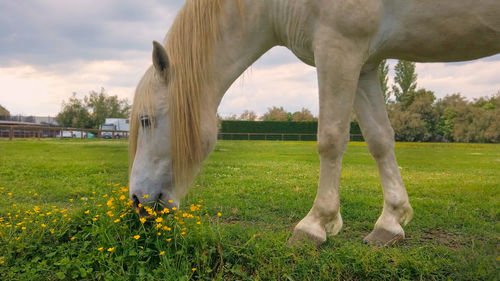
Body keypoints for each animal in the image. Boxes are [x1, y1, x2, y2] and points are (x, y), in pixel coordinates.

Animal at [128, 0, 500, 245]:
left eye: (146, 120)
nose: (136, 202)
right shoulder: (364, 65)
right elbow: (379, 139)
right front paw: (390, 222)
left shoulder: (339, 46)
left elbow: (331, 139)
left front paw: (315, 224)